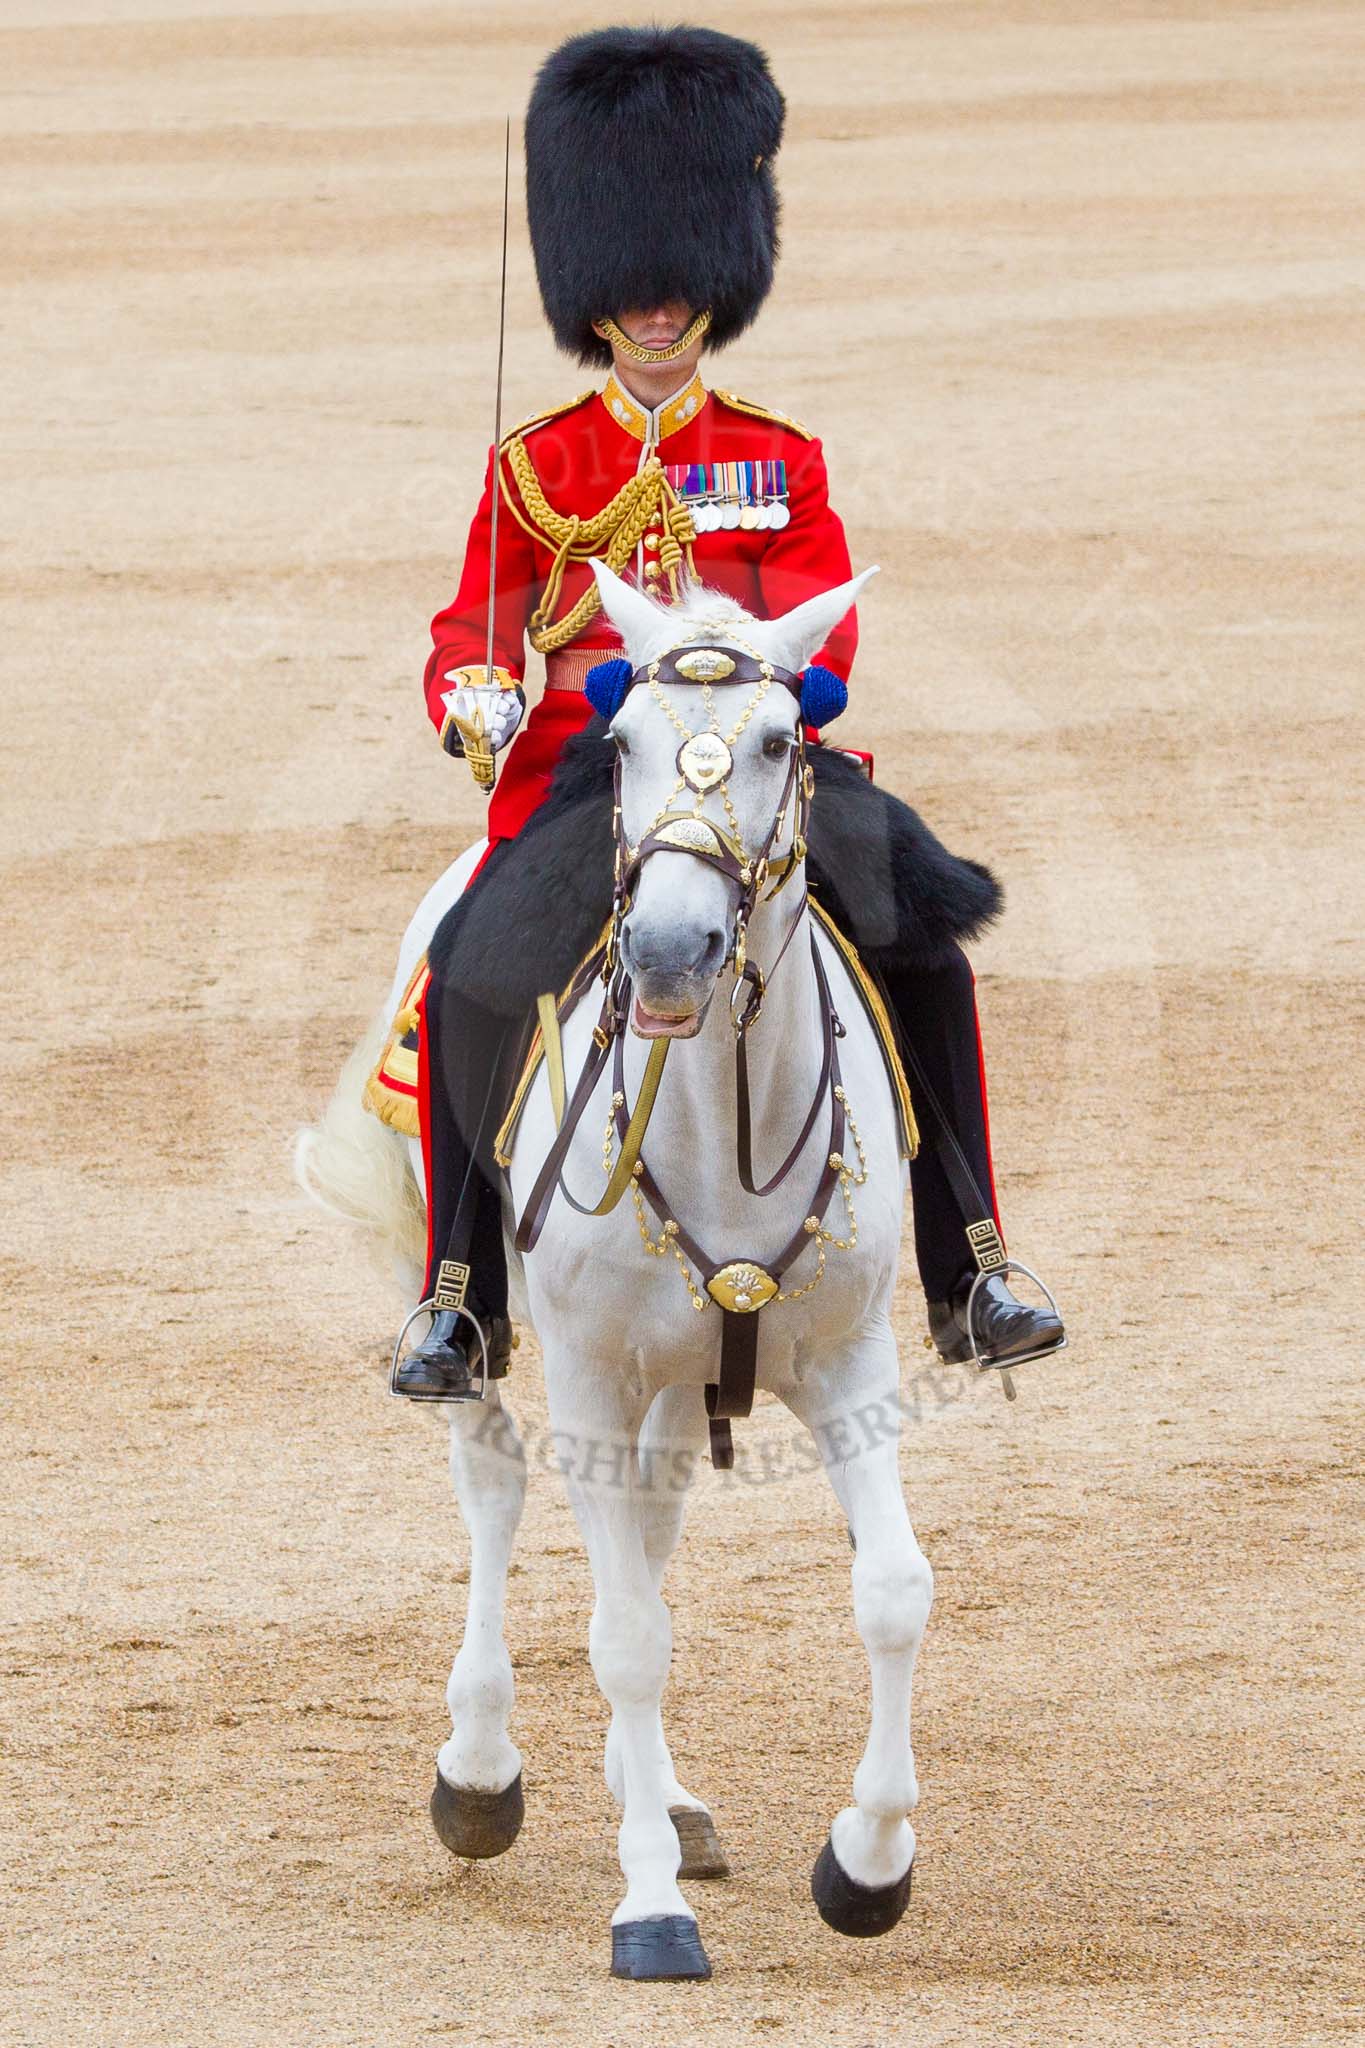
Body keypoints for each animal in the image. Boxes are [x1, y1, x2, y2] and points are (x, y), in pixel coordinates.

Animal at [296, 560, 934, 1981]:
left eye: (781, 739)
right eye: (624, 738)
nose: (669, 951)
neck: (720, 1118)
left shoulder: (848, 1361)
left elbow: (891, 1591)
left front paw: (867, 1863)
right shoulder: (586, 1371)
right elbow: (628, 1633)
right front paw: (650, 1908)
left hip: (676, 1377)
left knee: (649, 1516)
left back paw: (671, 1796)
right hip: (473, 1304)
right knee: (496, 1486)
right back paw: (481, 1768)